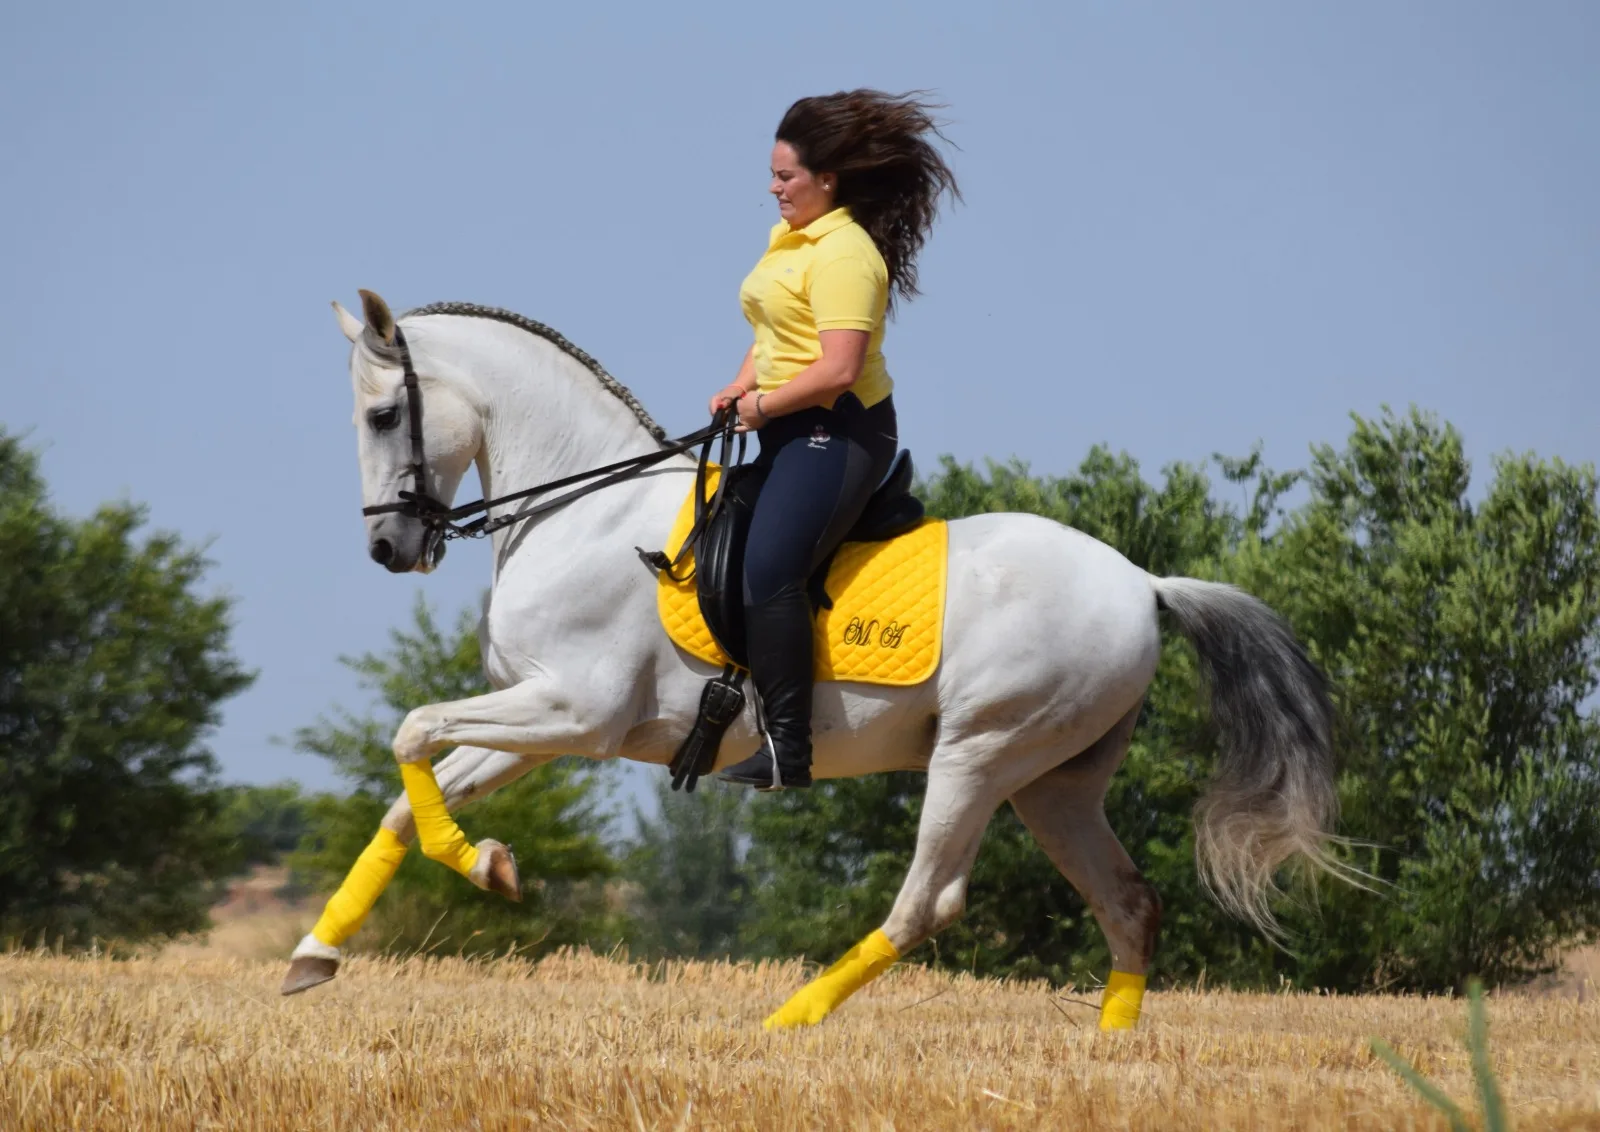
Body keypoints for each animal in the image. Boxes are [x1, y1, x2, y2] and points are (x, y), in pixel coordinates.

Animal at [281, 289, 1345, 1031]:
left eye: (383, 418)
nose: (388, 549)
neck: (579, 511)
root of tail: (1141, 581)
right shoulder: (541, 724)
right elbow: (409, 798)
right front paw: (320, 953)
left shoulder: (572, 711)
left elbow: (409, 730)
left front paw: (487, 869)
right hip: (1059, 783)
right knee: (1129, 904)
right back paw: (1111, 1057)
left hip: (980, 755)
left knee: (928, 903)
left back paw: (786, 1021)